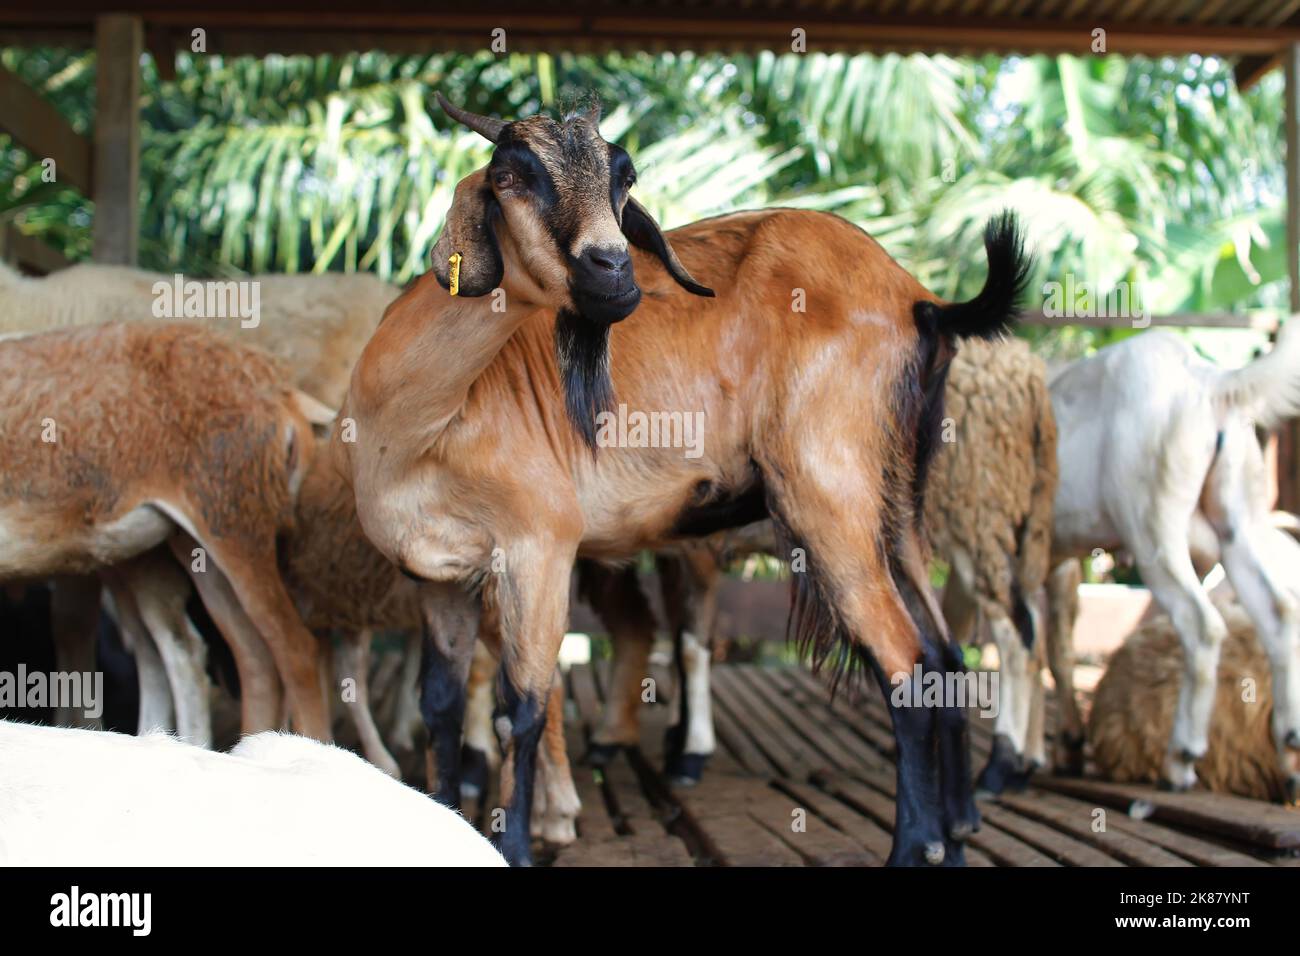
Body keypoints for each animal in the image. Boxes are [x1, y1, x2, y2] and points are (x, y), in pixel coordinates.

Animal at [1050, 325, 1300, 796]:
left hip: (1151, 520)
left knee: (1201, 624)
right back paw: (1290, 751)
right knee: (1277, 612)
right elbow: (1052, 645)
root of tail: (1209, 381)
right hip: (1237, 518)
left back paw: (1181, 760)